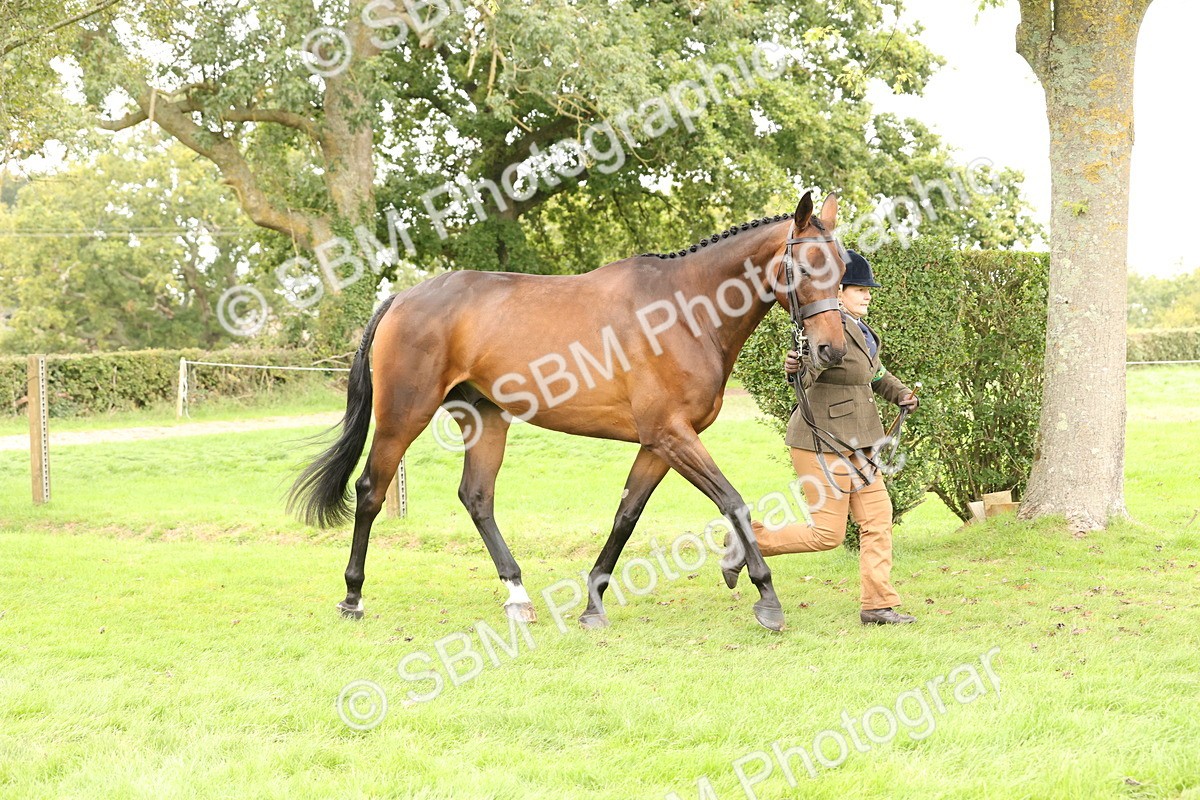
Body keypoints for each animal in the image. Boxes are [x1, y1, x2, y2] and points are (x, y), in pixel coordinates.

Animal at [289, 190, 849, 631]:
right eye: (803, 268)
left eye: (842, 270)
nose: (831, 351)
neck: (684, 312)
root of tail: (402, 297)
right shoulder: (672, 436)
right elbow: (733, 503)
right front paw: (767, 597)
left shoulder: (659, 444)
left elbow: (626, 515)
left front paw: (593, 602)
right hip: (404, 416)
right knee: (370, 491)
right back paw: (353, 596)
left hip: (485, 418)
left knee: (477, 497)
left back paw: (518, 596)